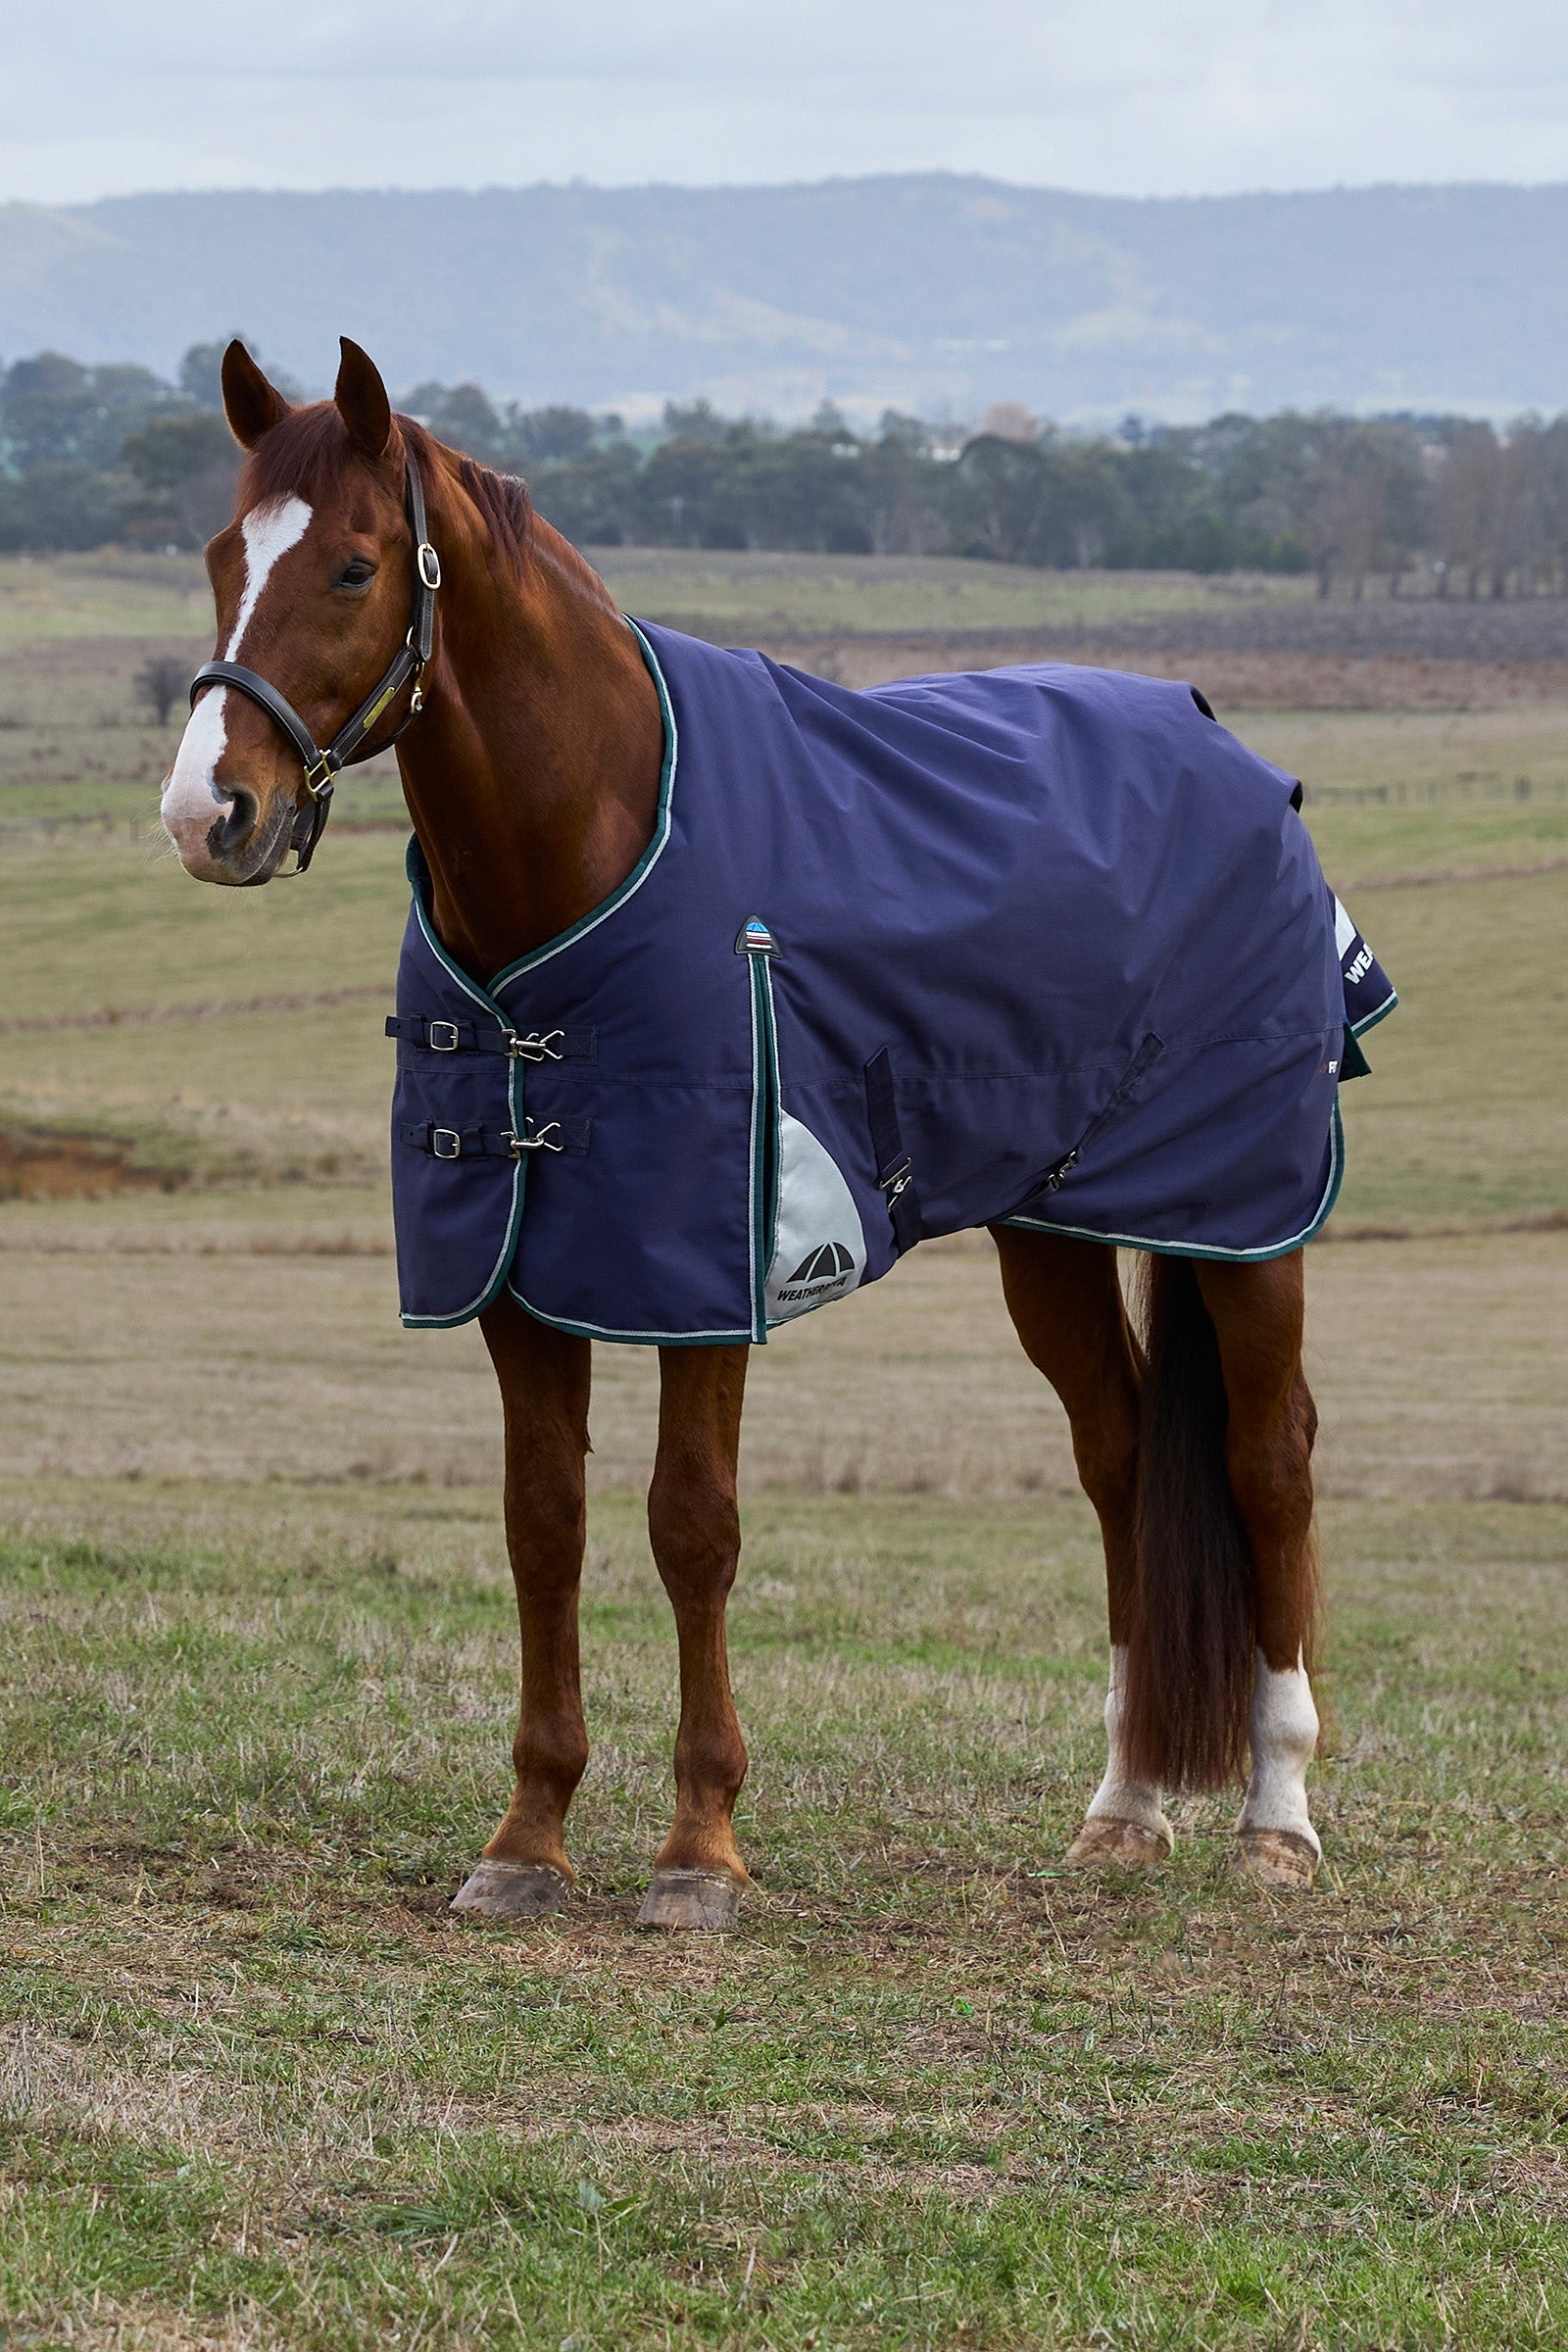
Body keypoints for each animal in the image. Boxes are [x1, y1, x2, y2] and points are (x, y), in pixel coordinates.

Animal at [161, 337, 1337, 1930]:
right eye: (223, 556)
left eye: (350, 567)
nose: (206, 811)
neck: (593, 843)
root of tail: (1226, 750)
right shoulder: (521, 1274)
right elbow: (544, 1523)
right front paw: (527, 1838)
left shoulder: (704, 1272)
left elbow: (691, 1526)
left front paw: (698, 1849)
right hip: (1052, 1231)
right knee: (1124, 1458)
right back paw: (1125, 1805)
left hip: (1244, 1221)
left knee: (1270, 1458)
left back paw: (1277, 1813)